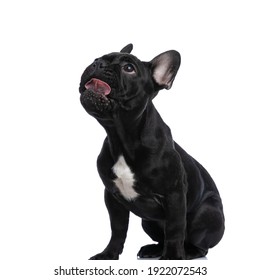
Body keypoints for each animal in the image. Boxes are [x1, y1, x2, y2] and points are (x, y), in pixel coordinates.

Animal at [78, 44, 224, 260]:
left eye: (129, 68)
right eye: (96, 58)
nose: (98, 64)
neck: (122, 138)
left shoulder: (174, 194)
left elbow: (175, 228)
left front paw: (172, 257)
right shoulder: (112, 197)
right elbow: (118, 228)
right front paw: (109, 254)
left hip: (206, 213)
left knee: (199, 244)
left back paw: (186, 252)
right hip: (148, 222)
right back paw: (153, 249)